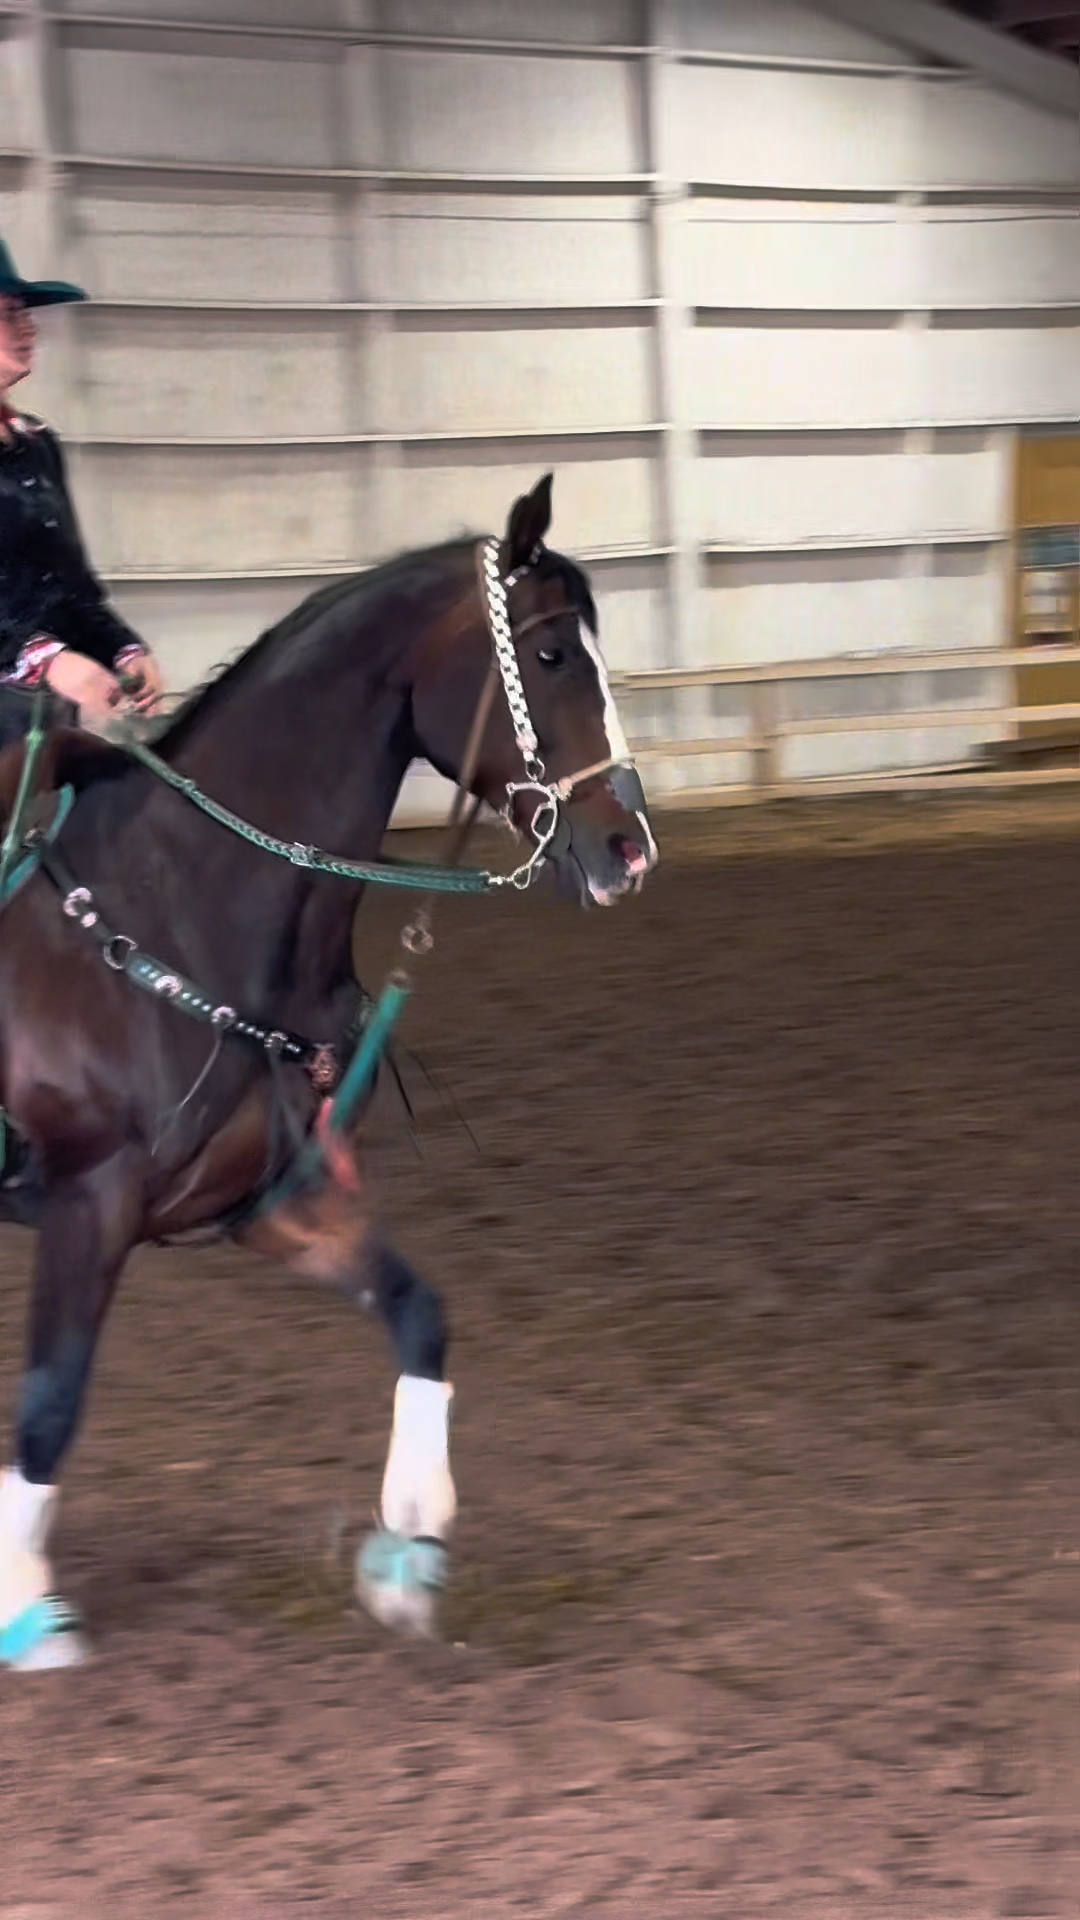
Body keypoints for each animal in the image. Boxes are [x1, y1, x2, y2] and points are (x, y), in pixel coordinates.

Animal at [0, 472, 657, 1670]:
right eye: (548, 654)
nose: (629, 849)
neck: (174, 896)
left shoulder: (271, 1199)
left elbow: (418, 1313)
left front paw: (410, 1546)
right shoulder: (85, 1203)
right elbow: (51, 1402)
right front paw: (27, 1608)